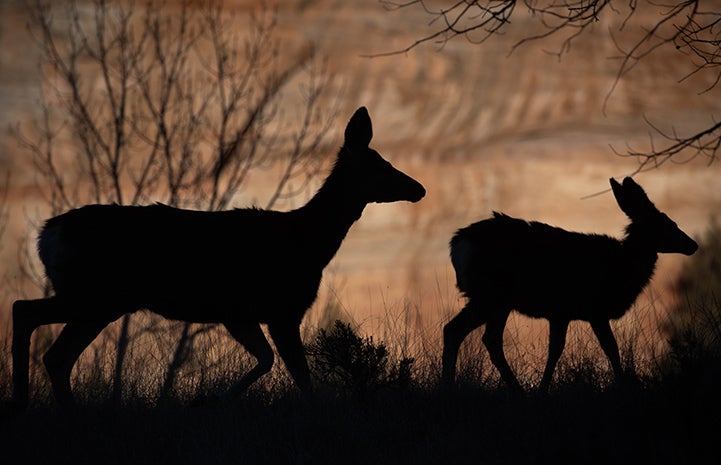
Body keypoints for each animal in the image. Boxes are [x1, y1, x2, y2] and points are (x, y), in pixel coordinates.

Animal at [12, 106, 426, 407]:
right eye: (382, 166)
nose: (419, 188)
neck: (307, 243)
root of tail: (47, 235)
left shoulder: (240, 314)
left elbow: (266, 360)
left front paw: (212, 399)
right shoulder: (282, 310)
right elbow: (300, 376)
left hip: (97, 300)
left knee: (51, 349)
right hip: (94, 294)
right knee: (31, 321)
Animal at [442, 177, 698, 393]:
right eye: (668, 224)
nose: (693, 244)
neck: (621, 268)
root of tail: (457, 245)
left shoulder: (561, 313)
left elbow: (556, 350)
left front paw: (542, 390)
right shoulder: (593, 309)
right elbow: (610, 349)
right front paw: (623, 386)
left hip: (497, 301)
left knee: (488, 339)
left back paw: (515, 391)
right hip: (490, 295)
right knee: (455, 330)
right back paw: (450, 388)